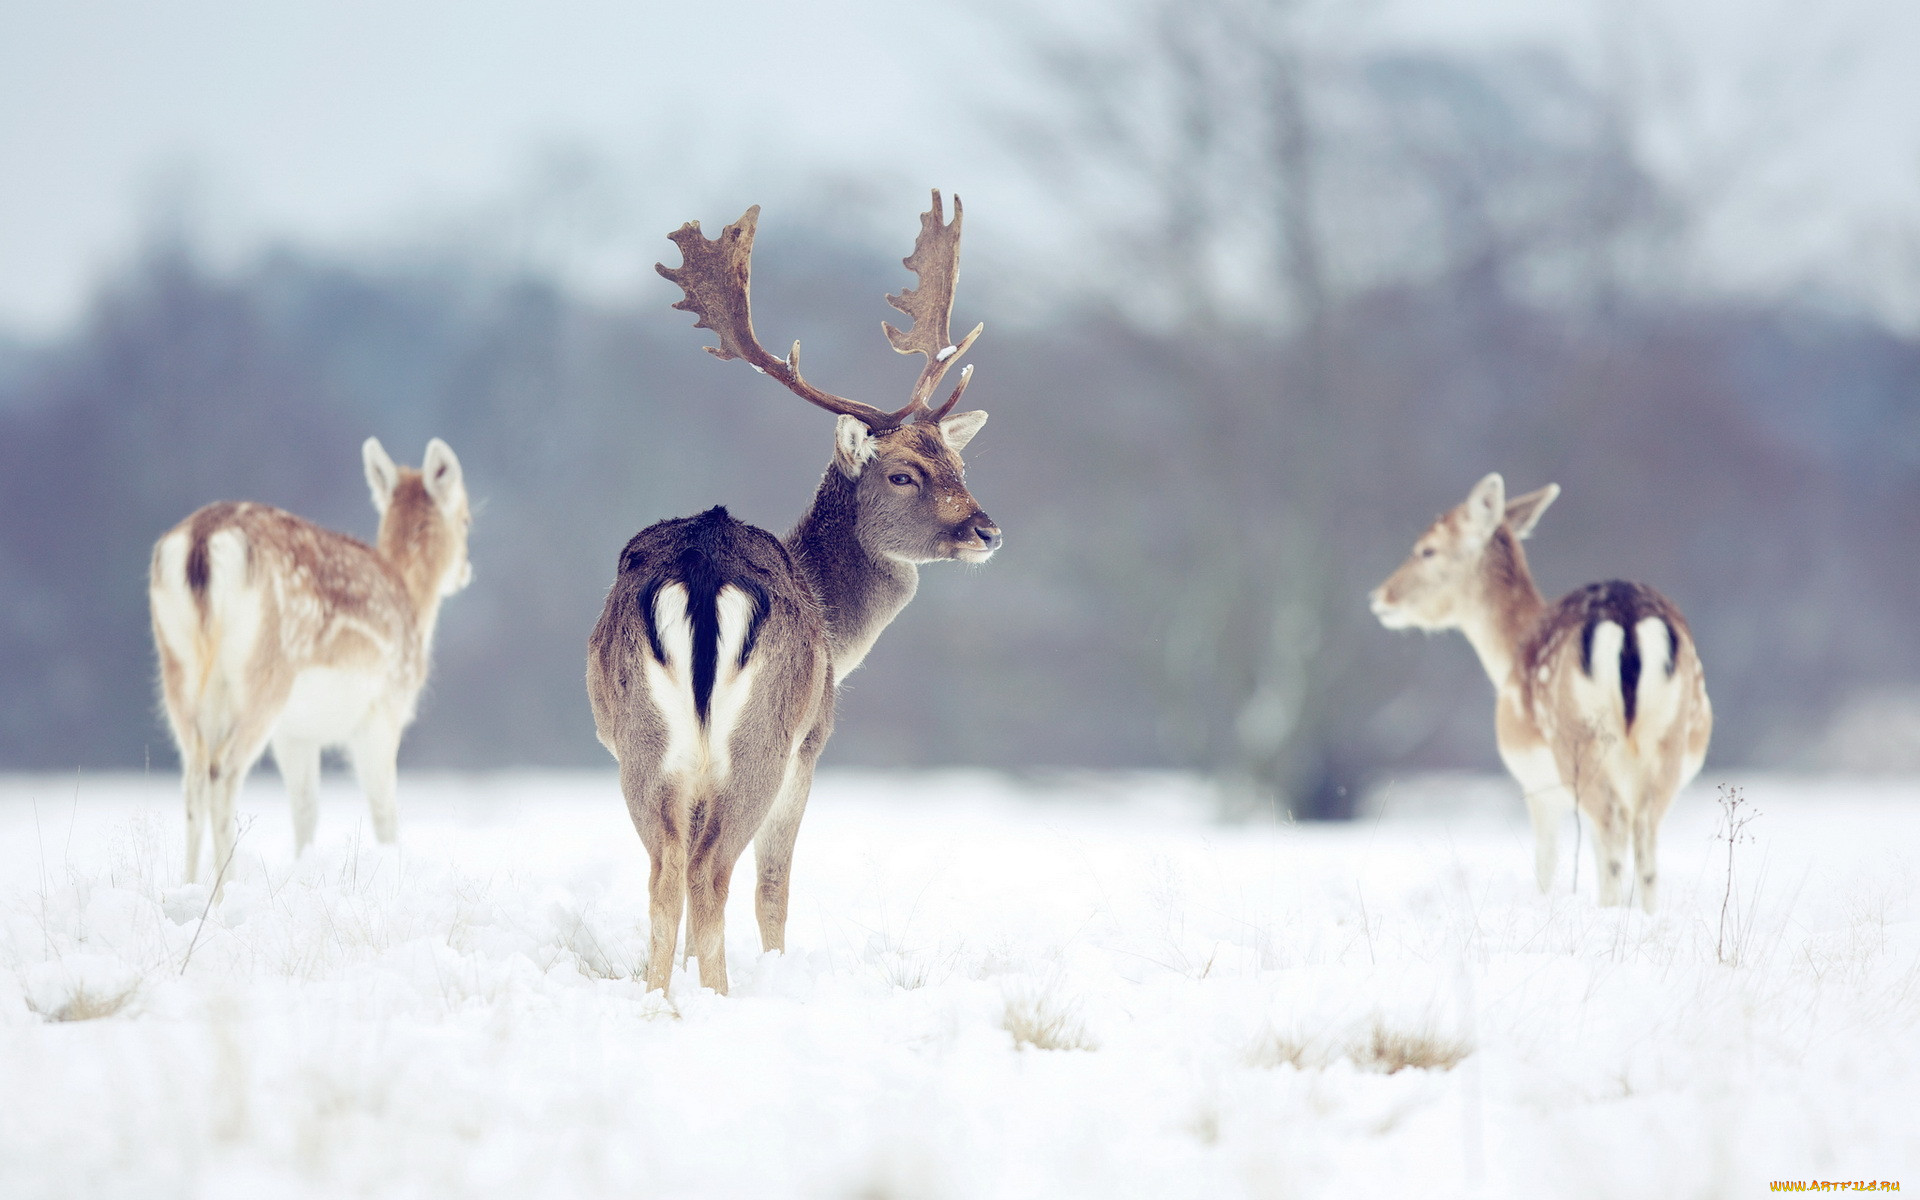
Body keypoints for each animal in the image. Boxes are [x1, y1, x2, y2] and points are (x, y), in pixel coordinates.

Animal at [148, 435, 472, 883]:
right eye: (467, 519)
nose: (466, 570)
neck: (414, 607)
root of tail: (201, 540)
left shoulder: (296, 733)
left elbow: (305, 810)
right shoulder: (384, 708)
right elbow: (384, 812)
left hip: (178, 669)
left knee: (194, 774)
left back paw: (189, 887)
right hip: (265, 674)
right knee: (223, 771)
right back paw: (225, 887)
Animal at [587, 189, 1006, 990]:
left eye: (957, 464)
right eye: (903, 473)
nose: (987, 529)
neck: (838, 627)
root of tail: (702, 570)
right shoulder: (812, 744)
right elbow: (775, 887)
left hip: (641, 743)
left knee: (666, 873)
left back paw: (661, 999)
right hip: (762, 739)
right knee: (714, 872)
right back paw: (718, 997)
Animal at [1374, 474, 1720, 906]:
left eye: (1427, 549)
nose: (1381, 596)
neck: (1508, 651)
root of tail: (1627, 620)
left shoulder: (1536, 786)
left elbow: (1546, 861)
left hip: (1579, 743)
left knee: (1613, 825)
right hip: (1668, 737)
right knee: (1644, 831)